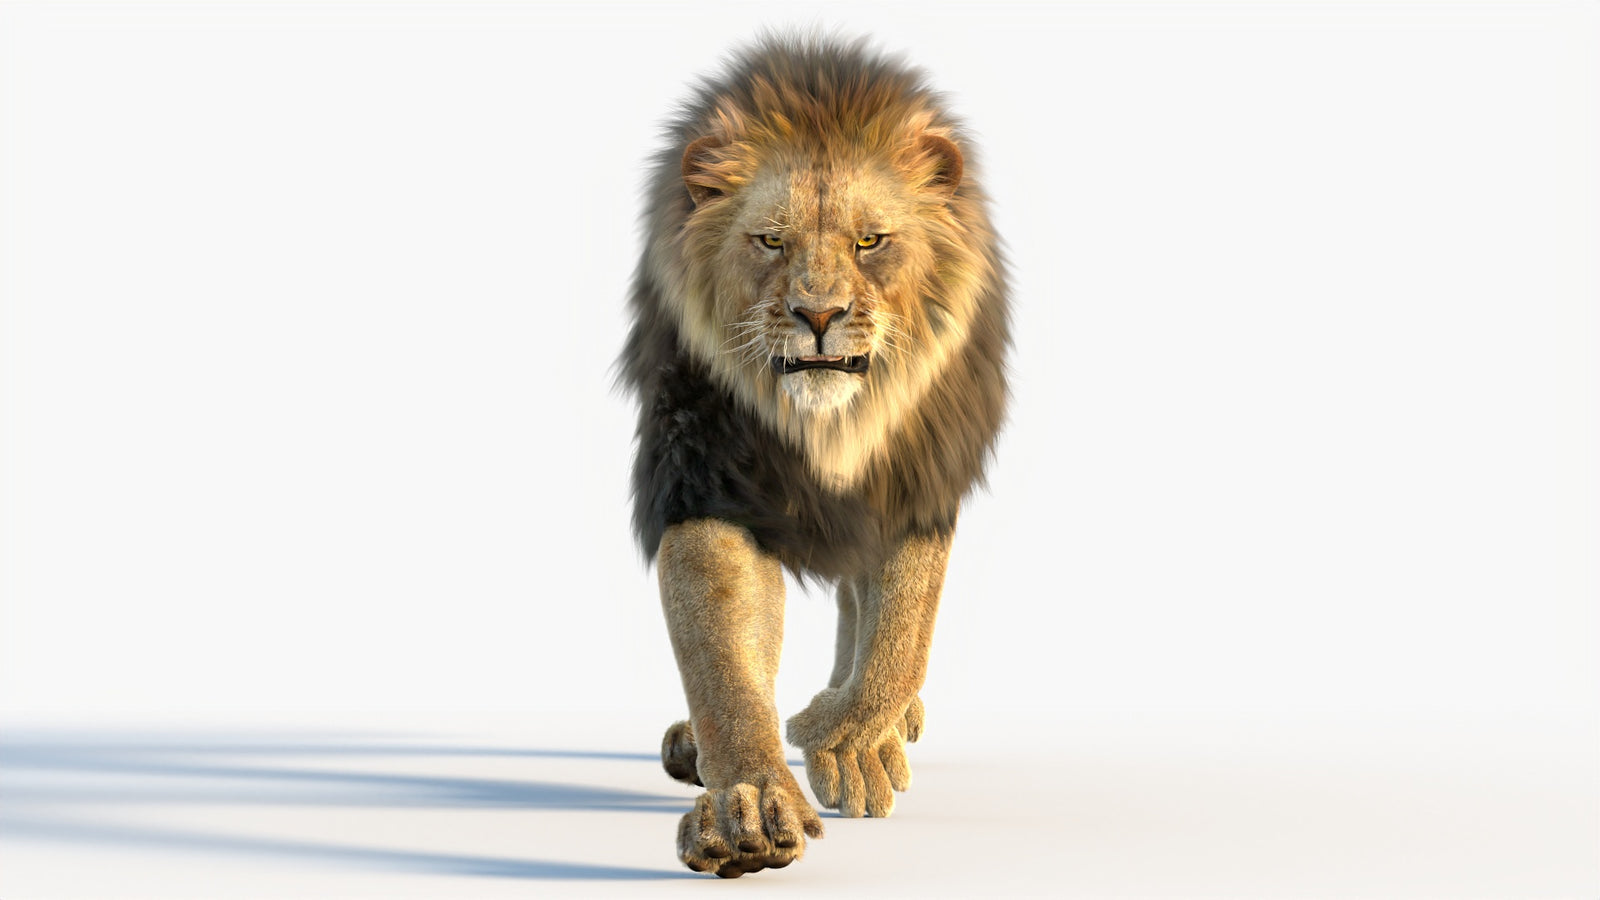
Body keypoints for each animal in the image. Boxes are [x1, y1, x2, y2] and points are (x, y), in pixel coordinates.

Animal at [619, 35, 1008, 877]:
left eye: (869, 240)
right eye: (771, 240)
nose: (818, 315)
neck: (827, 428)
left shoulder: (918, 473)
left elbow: (900, 630)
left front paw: (843, 735)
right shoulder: (708, 469)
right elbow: (725, 649)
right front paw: (750, 805)